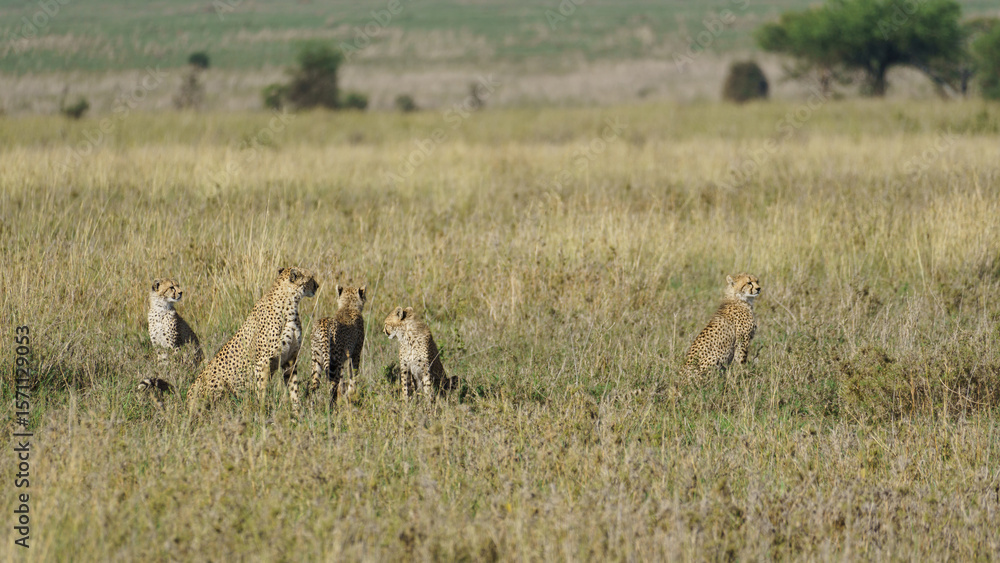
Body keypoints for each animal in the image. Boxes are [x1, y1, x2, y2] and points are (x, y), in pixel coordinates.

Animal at [187, 267, 318, 416]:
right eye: (311, 278)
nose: (317, 286)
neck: (290, 305)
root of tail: (187, 401)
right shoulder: (263, 362)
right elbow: (261, 391)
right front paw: (261, 413)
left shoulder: (290, 359)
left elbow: (293, 389)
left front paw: (297, 413)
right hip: (216, 381)